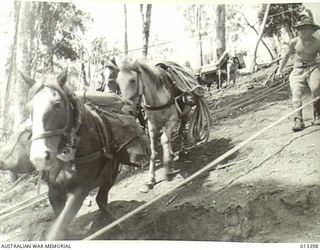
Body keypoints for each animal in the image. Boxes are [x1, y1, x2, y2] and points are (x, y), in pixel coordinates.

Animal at [20, 71, 120, 240]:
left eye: (57, 105)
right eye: (29, 109)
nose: (39, 157)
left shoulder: (81, 189)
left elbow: (62, 222)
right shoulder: (54, 190)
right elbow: (60, 223)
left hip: (113, 169)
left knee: (103, 195)